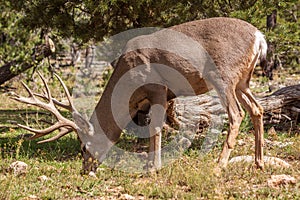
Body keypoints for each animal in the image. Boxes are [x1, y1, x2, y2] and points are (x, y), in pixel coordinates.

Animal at [12, 17, 268, 173]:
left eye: (84, 147)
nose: (86, 170)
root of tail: (260, 37)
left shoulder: (157, 87)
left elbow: (155, 127)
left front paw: (154, 168)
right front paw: (151, 165)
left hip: (224, 75)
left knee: (236, 114)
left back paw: (219, 165)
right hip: (243, 81)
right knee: (257, 109)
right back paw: (259, 163)